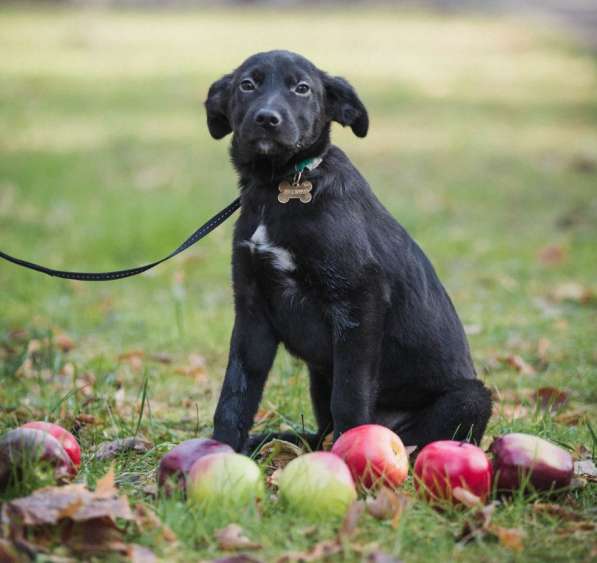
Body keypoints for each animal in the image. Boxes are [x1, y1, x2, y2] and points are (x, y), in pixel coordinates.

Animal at [203, 48, 492, 454]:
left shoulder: (359, 300)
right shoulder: (251, 307)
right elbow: (236, 390)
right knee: (319, 434)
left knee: (413, 437)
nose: (267, 119)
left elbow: (350, 394)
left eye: (302, 88)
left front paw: (352, 455)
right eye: (247, 85)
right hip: (318, 373)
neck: (278, 185)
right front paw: (221, 448)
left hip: (470, 398)